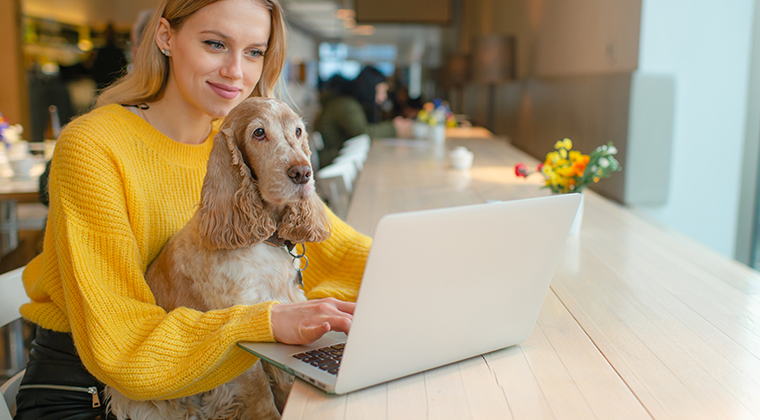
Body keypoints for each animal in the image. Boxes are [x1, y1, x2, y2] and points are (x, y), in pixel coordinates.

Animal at [105, 97, 332, 418]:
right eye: (258, 133)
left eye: (298, 131)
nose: (302, 173)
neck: (264, 240)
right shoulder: (242, 339)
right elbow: (262, 398)